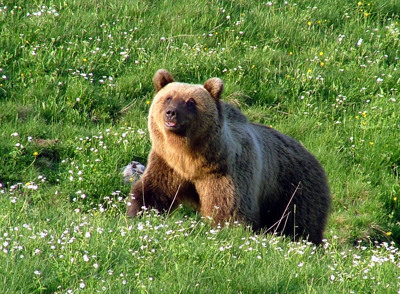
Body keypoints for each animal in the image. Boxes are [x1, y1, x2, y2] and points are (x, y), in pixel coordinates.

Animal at [128, 69, 332, 243]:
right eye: (168, 97)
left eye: (190, 102)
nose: (171, 113)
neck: (190, 159)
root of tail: (314, 159)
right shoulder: (167, 164)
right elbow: (153, 191)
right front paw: (138, 213)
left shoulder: (226, 172)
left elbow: (229, 209)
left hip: (294, 188)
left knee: (299, 223)